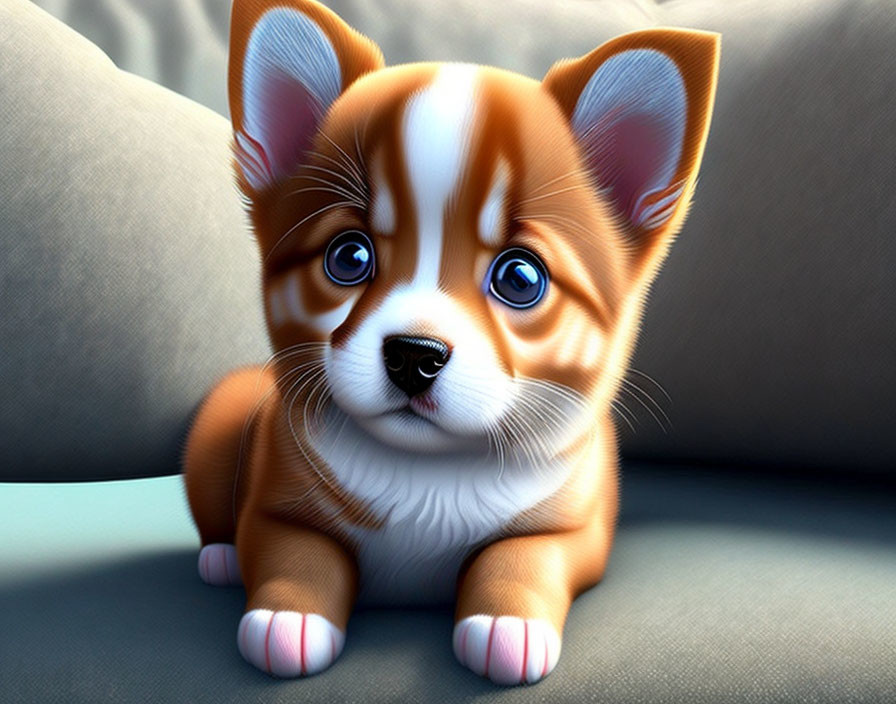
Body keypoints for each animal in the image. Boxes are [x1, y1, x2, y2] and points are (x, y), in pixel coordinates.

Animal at [184, 0, 720, 684]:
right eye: (348, 258)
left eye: (520, 278)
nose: (415, 354)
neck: (431, 472)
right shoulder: (276, 507)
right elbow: (298, 552)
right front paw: (288, 616)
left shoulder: (572, 530)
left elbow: (521, 558)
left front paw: (506, 626)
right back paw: (220, 557)